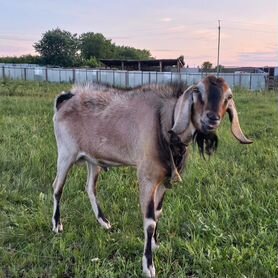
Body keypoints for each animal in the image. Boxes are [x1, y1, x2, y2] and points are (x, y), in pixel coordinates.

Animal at [51, 75, 251, 276]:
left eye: (228, 97)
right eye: (198, 92)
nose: (212, 118)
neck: (166, 120)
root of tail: (67, 98)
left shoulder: (163, 181)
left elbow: (158, 212)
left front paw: (155, 244)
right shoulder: (147, 178)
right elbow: (149, 221)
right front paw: (148, 266)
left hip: (93, 160)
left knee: (90, 188)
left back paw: (104, 223)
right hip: (66, 153)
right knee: (57, 188)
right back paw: (56, 225)